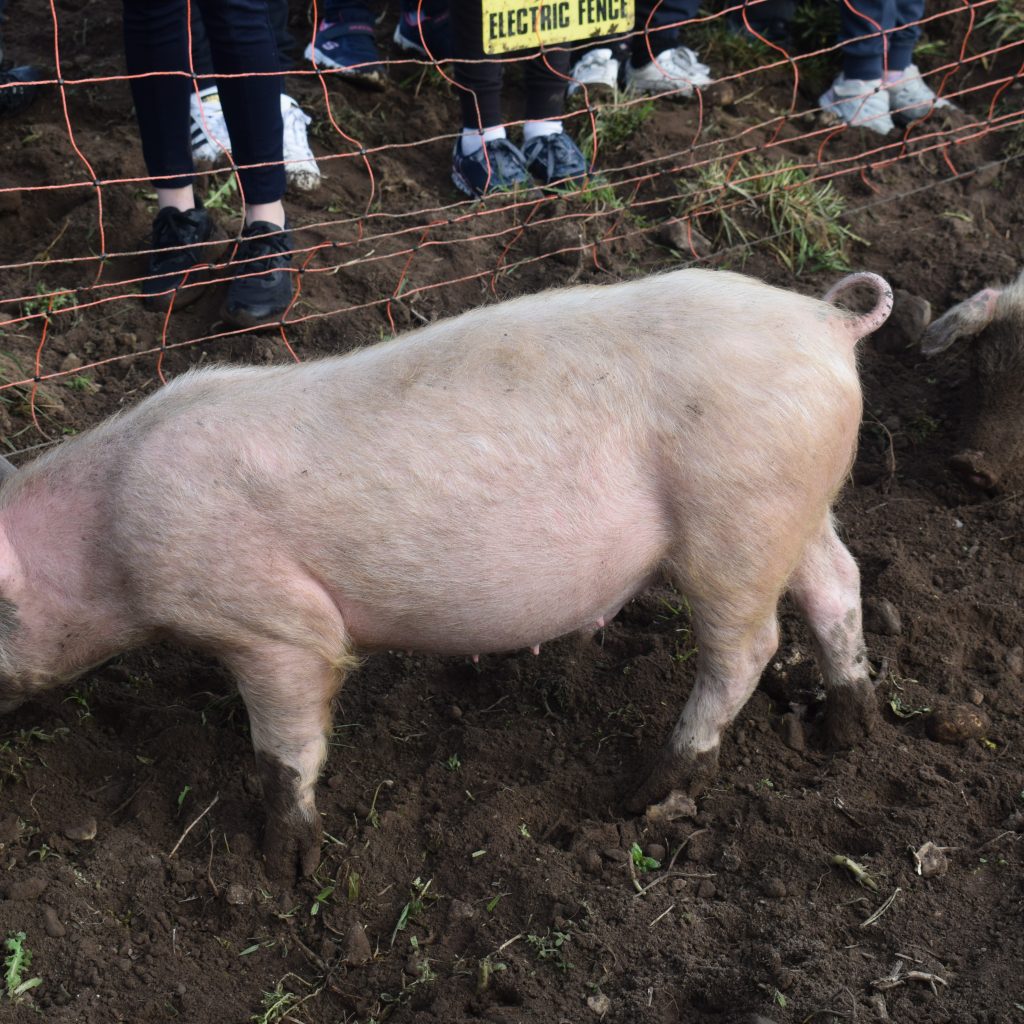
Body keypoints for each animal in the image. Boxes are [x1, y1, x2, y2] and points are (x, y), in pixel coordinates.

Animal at [0, 268, 892, 876]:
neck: (108, 538)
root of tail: (826, 322)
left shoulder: (274, 625)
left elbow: (285, 743)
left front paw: (284, 866)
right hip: (794, 507)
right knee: (838, 583)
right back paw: (847, 730)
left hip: (734, 521)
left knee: (749, 647)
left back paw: (644, 791)